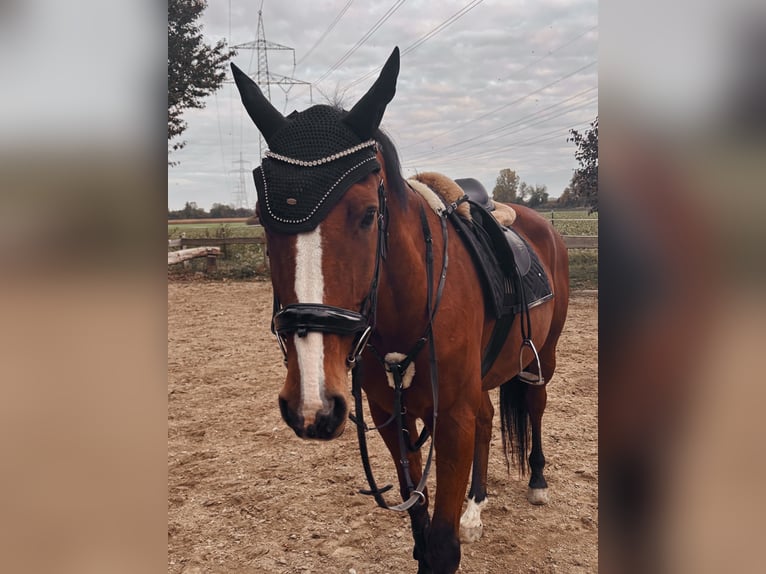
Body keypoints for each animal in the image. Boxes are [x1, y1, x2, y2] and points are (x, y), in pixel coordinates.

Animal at [231, 47, 569, 574]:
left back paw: (536, 481)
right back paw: (476, 504)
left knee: (534, 404)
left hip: (541, 358)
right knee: (489, 418)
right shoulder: (392, 415)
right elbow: (420, 532)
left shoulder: (452, 417)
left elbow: (442, 547)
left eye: (369, 214)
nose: (311, 403)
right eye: (264, 220)